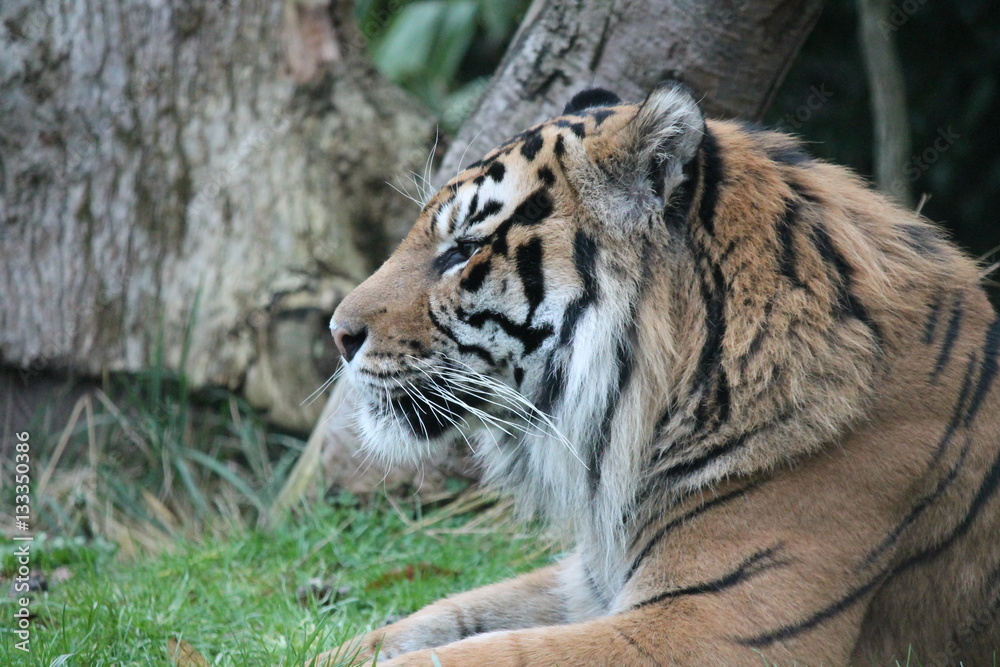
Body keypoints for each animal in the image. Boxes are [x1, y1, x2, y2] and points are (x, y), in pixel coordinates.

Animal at [318, 83, 1000, 666]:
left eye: (463, 251)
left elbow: (487, 652)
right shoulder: (587, 582)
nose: (337, 333)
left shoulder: (712, 623)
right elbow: (432, 619)